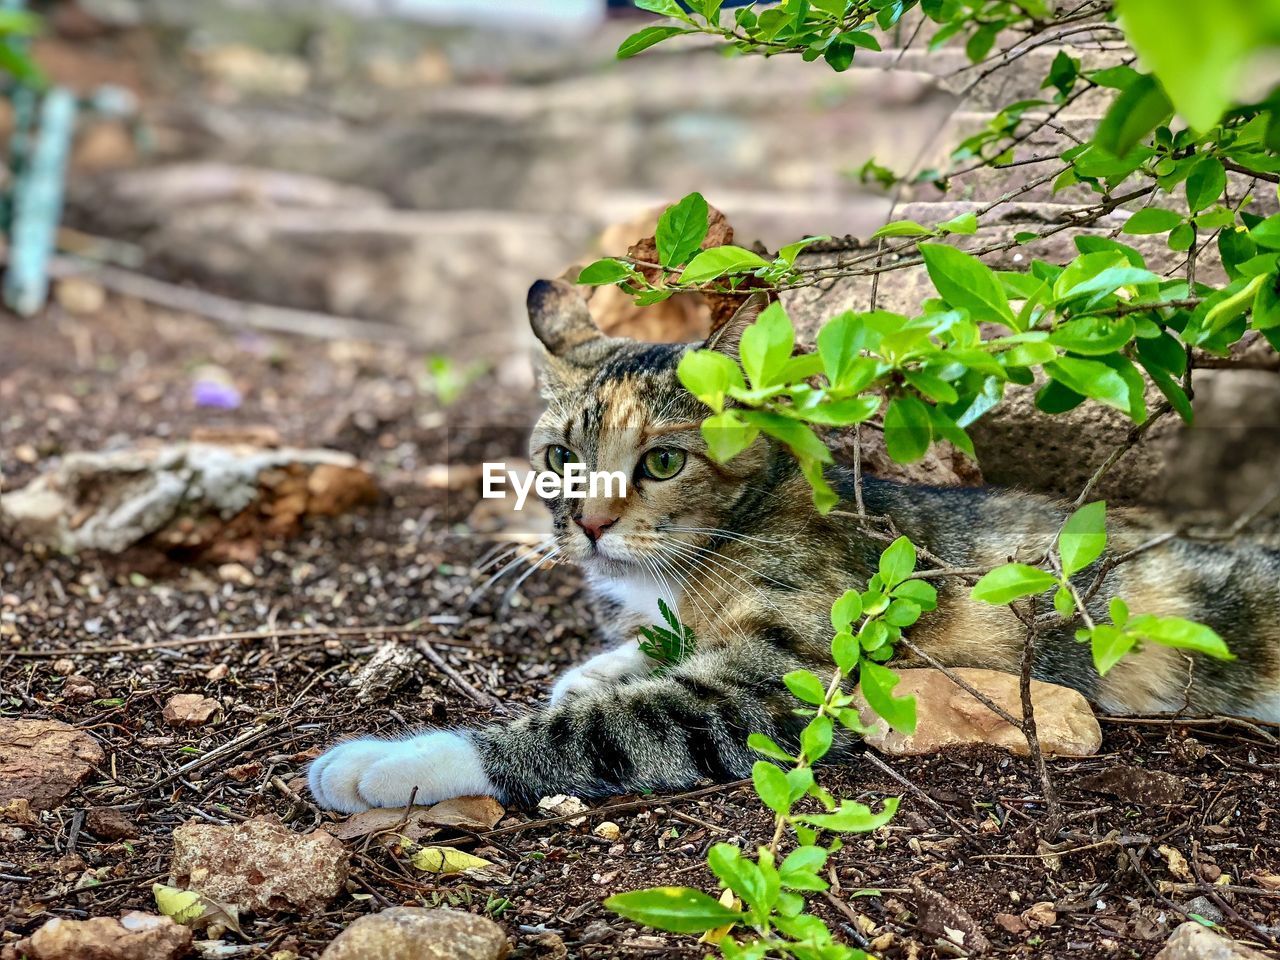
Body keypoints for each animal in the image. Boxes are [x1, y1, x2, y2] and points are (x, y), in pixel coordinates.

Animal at [309, 276, 1280, 814]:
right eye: (560, 458)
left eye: (663, 461)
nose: (588, 525)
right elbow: (640, 660)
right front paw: (596, 665)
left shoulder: (787, 677)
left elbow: (606, 726)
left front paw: (397, 761)